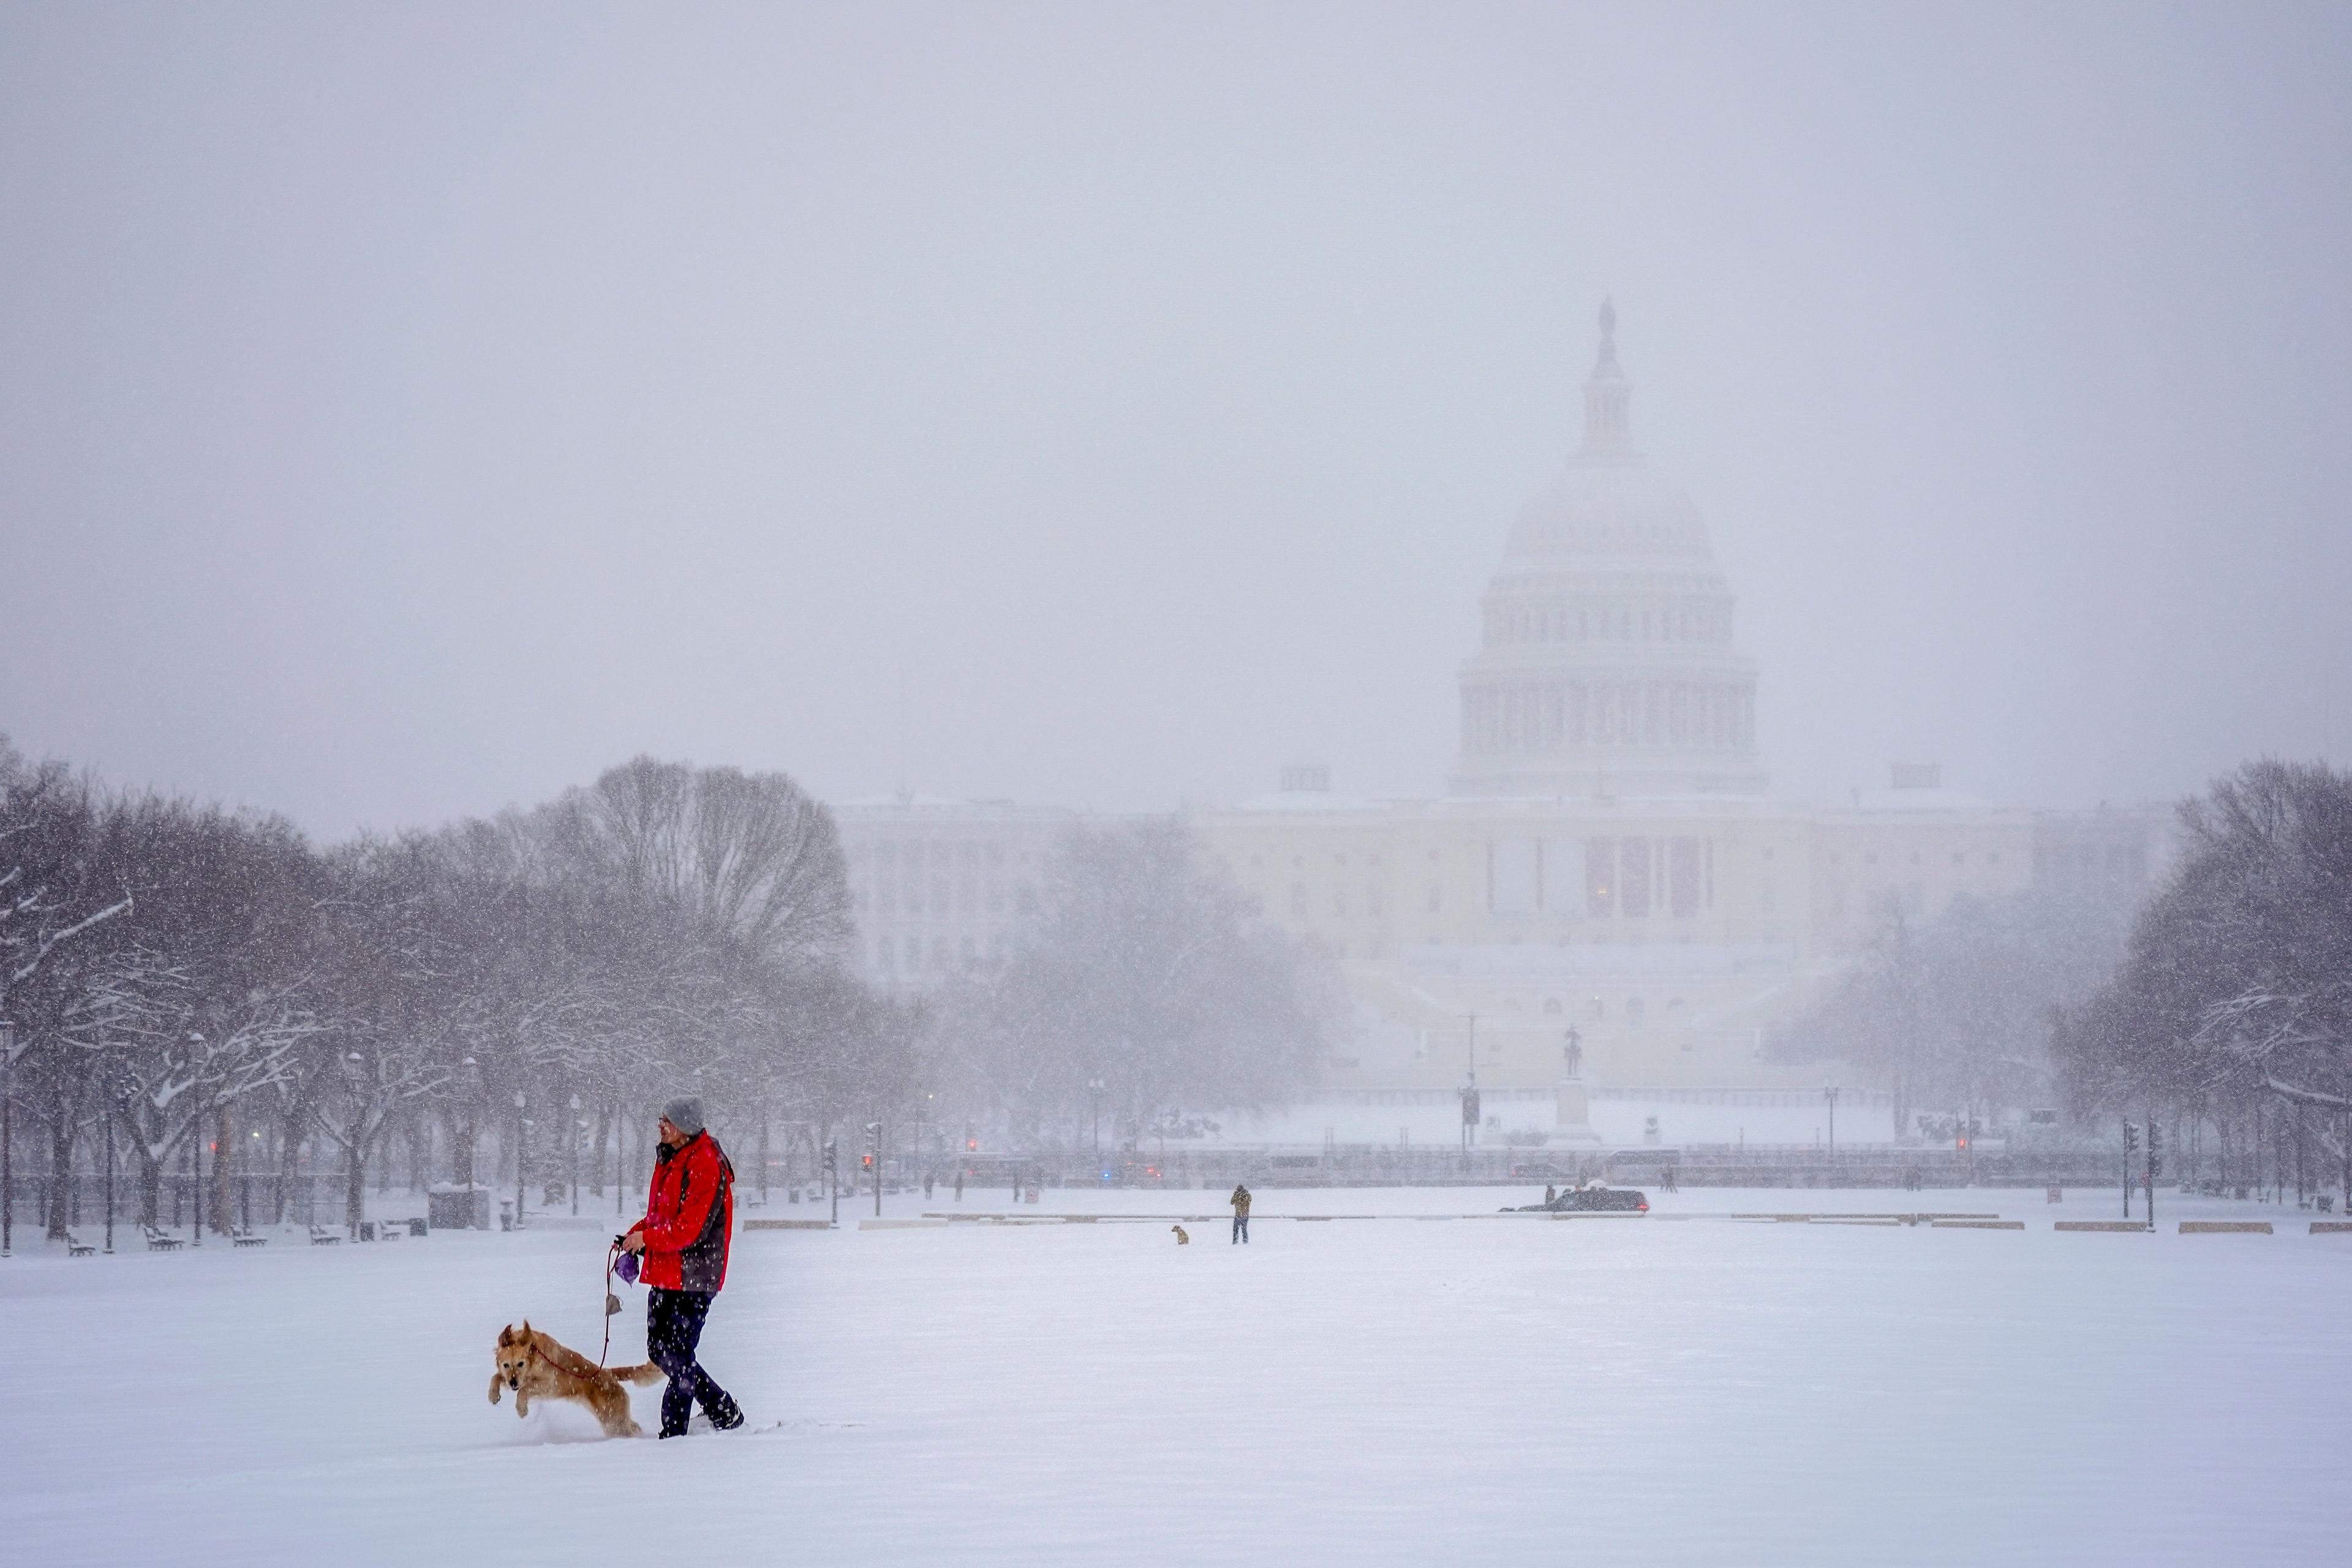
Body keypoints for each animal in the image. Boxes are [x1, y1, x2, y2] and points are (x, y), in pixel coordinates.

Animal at [480, 1316, 658, 1438]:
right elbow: (496, 1377)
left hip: (613, 1419)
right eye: (506, 1365)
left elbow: (524, 1390)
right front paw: (493, 1395)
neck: (535, 1355)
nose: (513, 1383)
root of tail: (609, 1373)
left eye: (521, 1363)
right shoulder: (512, 1378)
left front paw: (522, 1409)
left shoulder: (549, 1384)